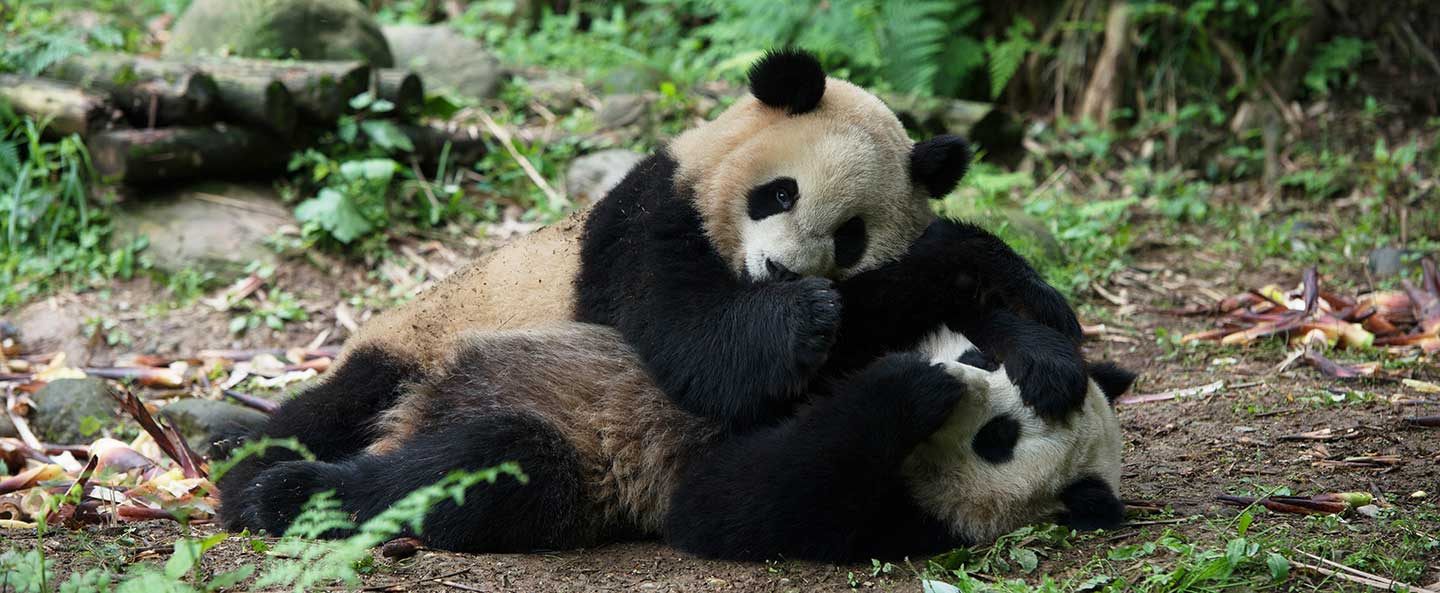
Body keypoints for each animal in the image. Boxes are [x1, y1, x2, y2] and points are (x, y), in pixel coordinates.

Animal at [219, 318, 1134, 561]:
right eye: (981, 355)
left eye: (1000, 437)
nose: (961, 373)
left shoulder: (898, 517)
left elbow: (726, 504)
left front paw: (908, 391)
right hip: (438, 360)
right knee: (363, 390)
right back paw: (249, 468)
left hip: (563, 478)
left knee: (486, 463)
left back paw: (288, 495)